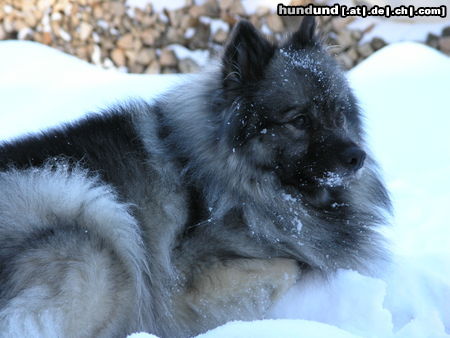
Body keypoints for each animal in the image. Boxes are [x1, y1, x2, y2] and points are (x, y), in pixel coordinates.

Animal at [0, 16, 390, 338]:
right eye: (300, 120)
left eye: (339, 114)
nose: (357, 157)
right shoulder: (189, 280)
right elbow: (290, 266)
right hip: (92, 217)